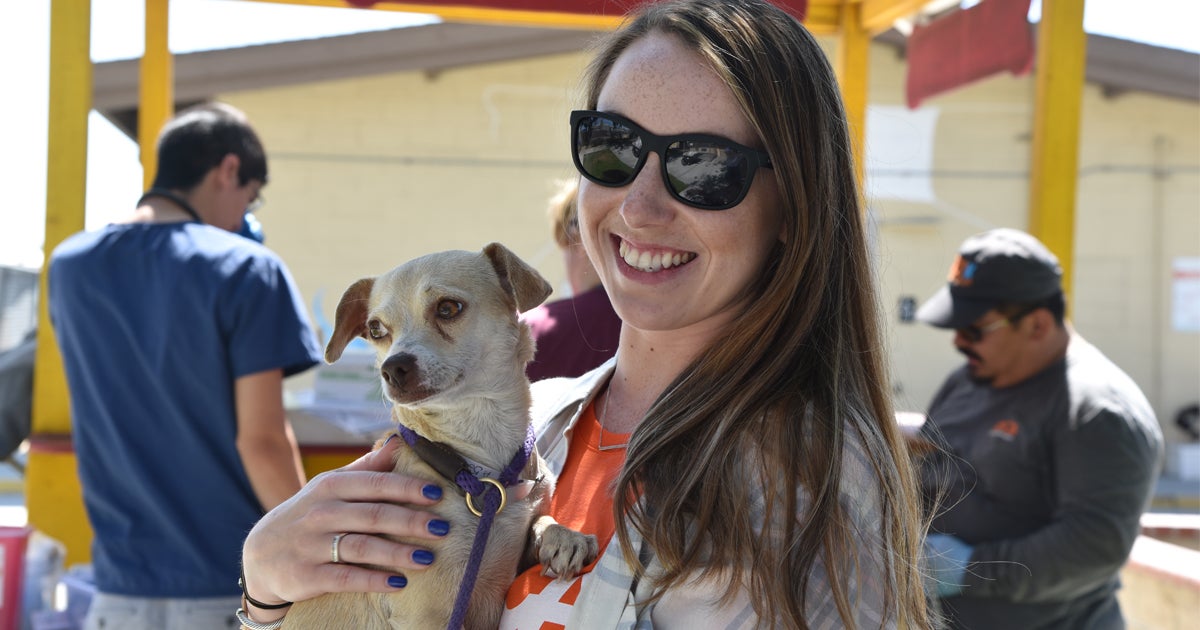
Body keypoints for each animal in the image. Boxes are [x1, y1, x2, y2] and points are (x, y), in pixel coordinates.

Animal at [283, 243, 599, 629]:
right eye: (376, 329)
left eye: (448, 308)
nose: (392, 367)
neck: (477, 468)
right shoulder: (428, 613)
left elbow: (541, 518)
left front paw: (564, 537)